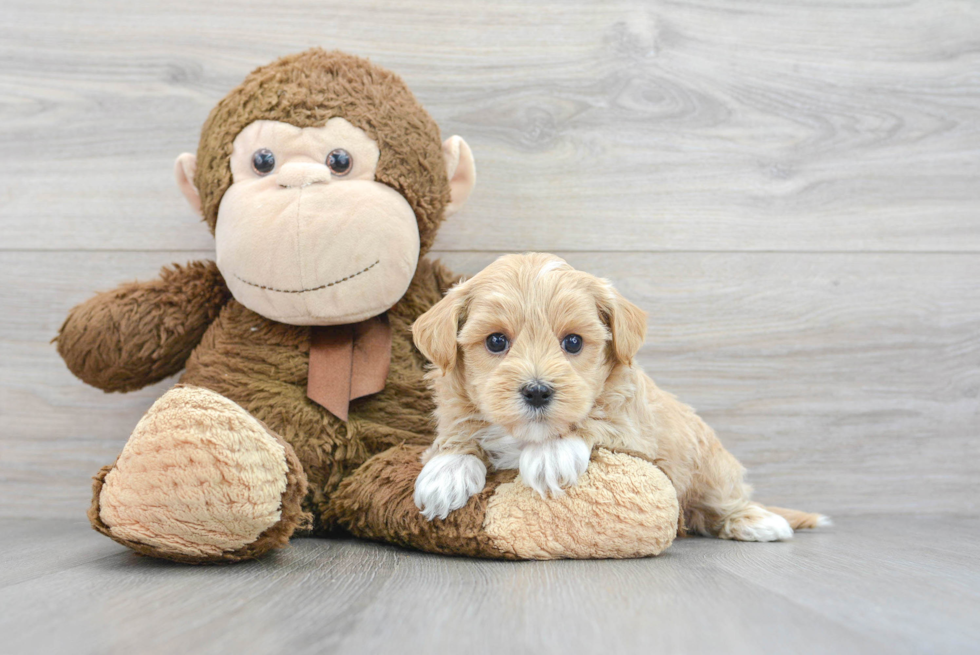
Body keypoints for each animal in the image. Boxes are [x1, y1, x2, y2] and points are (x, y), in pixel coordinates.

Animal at [408, 254, 828, 540]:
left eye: (573, 342)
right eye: (496, 341)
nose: (538, 391)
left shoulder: (634, 431)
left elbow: (598, 420)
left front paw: (551, 453)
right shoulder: (456, 411)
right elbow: (458, 436)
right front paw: (446, 474)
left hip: (711, 466)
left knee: (725, 499)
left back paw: (758, 519)